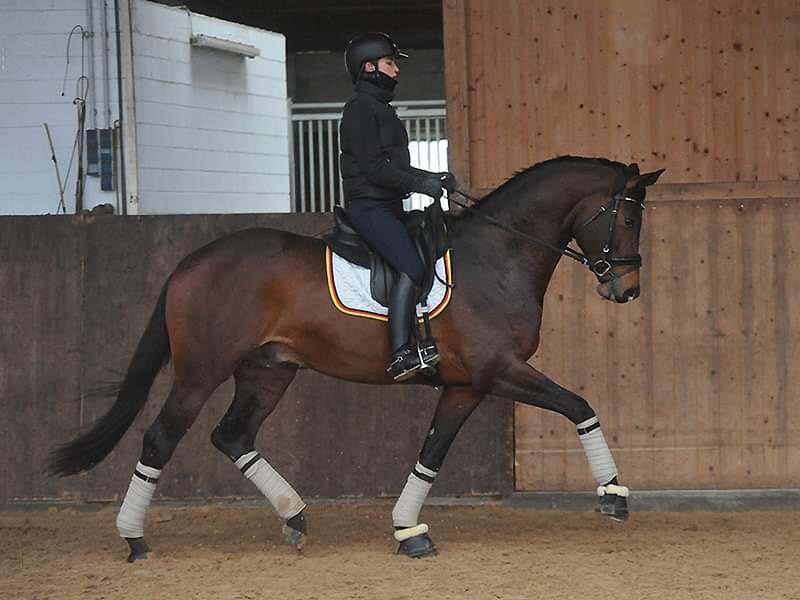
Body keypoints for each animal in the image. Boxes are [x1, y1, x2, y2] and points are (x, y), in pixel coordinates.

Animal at [48, 156, 664, 564]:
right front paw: (614, 495)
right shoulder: (500, 372)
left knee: (233, 435)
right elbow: (579, 404)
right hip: (201, 373)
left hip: (267, 372)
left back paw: (294, 517)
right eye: (629, 219)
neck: (498, 256)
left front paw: (408, 530)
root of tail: (188, 265)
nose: (627, 290)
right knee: (160, 439)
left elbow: (431, 454)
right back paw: (134, 539)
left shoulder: (465, 386)